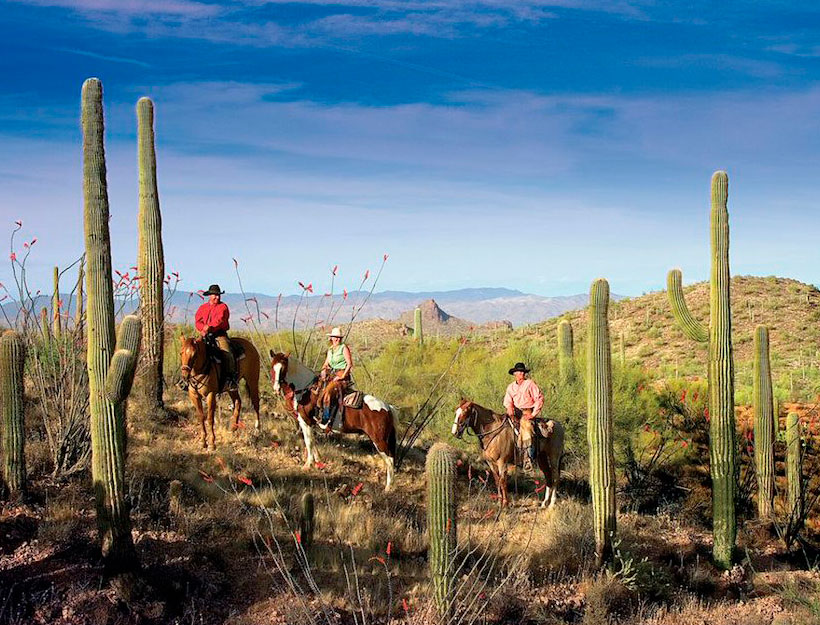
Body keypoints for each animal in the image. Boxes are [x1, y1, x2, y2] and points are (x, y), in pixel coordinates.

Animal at [270, 352, 398, 492]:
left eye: (283, 368)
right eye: (272, 367)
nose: (276, 388)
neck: (306, 391)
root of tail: (387, 407)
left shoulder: (305, 421)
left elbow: (308, 442)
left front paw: (308, 465)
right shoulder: (311, 423)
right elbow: (313, 442)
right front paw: (318, 461)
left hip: (379, 440)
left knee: (390, 460)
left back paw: (388, 487)